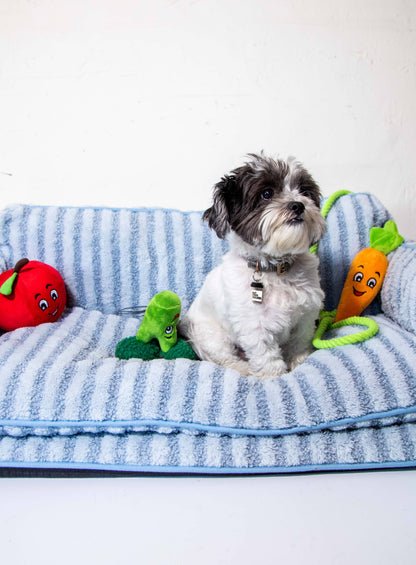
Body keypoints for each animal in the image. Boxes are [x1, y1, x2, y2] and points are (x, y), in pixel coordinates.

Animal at [180, 153, 326, 378]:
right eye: (267, 193)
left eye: (304, 191)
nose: (298, 205)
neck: (276, 269)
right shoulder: (255, 328)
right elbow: (267, 357)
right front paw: (275, 376)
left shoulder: (306, 317)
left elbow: (299, 342)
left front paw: (299, 361)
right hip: (213, 336)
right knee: (224, 358)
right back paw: (243, 367)